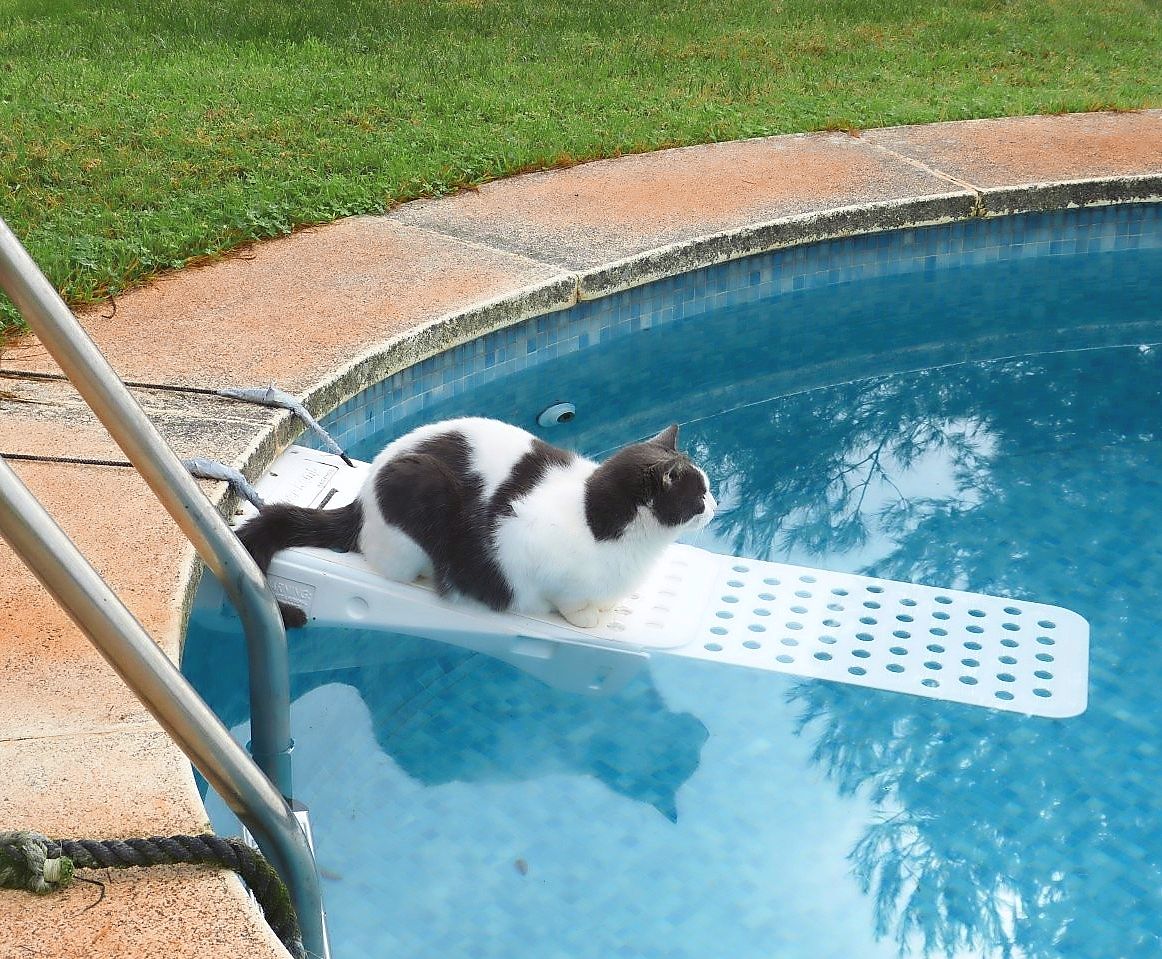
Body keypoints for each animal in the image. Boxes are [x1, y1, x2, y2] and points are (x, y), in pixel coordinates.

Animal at [237, 417, 716, 629]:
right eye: (699, 495)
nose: (715, 505)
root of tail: (362, 500)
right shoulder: (523, 542)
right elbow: (571, 604)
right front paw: (589, 617)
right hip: (420, 489)